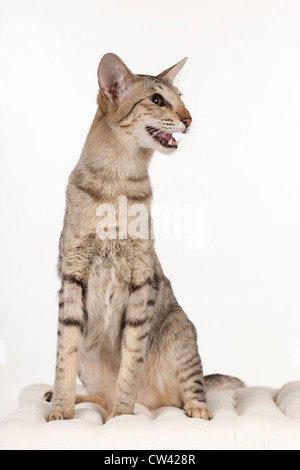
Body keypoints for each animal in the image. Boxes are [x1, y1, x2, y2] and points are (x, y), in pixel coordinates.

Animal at [46, 54, 244, 422]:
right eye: (157, 100)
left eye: (180, 98)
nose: (189, 118)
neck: (117, 183)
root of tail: (153, 404)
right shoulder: (72, 278)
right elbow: (64, 354)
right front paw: (62, 408)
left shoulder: (141, 280)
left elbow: (130, 363)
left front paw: (122, 417)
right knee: (99, 396)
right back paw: (68, 397)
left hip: (180, 330)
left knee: (194, 390)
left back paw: (195, 411)